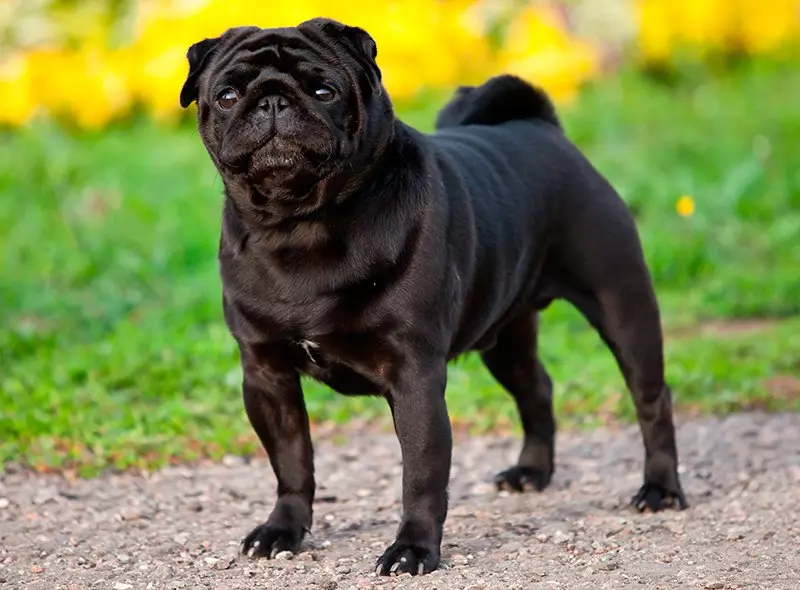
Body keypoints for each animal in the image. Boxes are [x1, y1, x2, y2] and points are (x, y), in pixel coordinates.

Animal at [181, 17, 688, 580]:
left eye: (324, 91)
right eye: (227, 96)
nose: (273, 101)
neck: (300, 229)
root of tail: (544, 128)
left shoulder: (415, 378)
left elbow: (421, 474)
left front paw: (412, 549)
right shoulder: (268, 377)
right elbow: (292, 462)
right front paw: (282, 530)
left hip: (623, 306)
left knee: (651, 398)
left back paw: (661, 489)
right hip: (506, 341)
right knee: (536, 389)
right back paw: (532, 472)